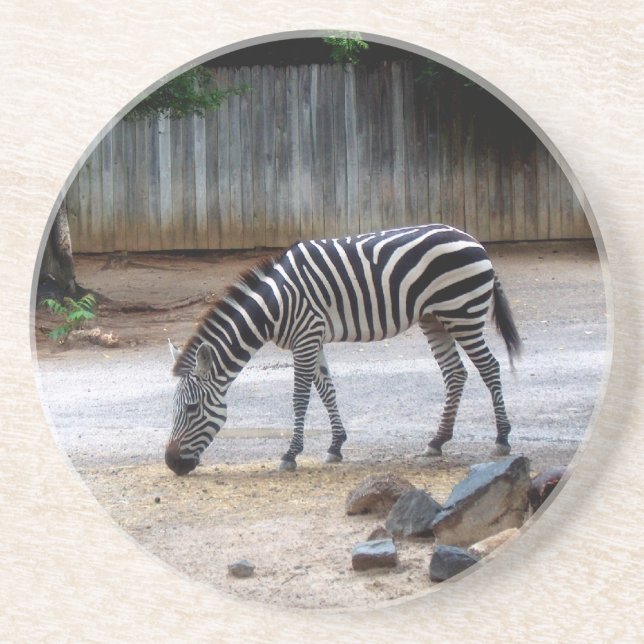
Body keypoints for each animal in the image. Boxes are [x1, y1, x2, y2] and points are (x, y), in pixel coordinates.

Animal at [165, 224, 522, 475]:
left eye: (192, 409)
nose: (171, 463)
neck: (274, 305)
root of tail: (473, 240)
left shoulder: (305, 337)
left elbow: (300, 397)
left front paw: (291, 454)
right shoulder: (312, 338)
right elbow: (327, 391)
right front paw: (336, 446)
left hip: (462, 312)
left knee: (489, 367)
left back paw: (502, 438)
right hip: (434, 317)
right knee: (455, 373)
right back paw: (437, 441)